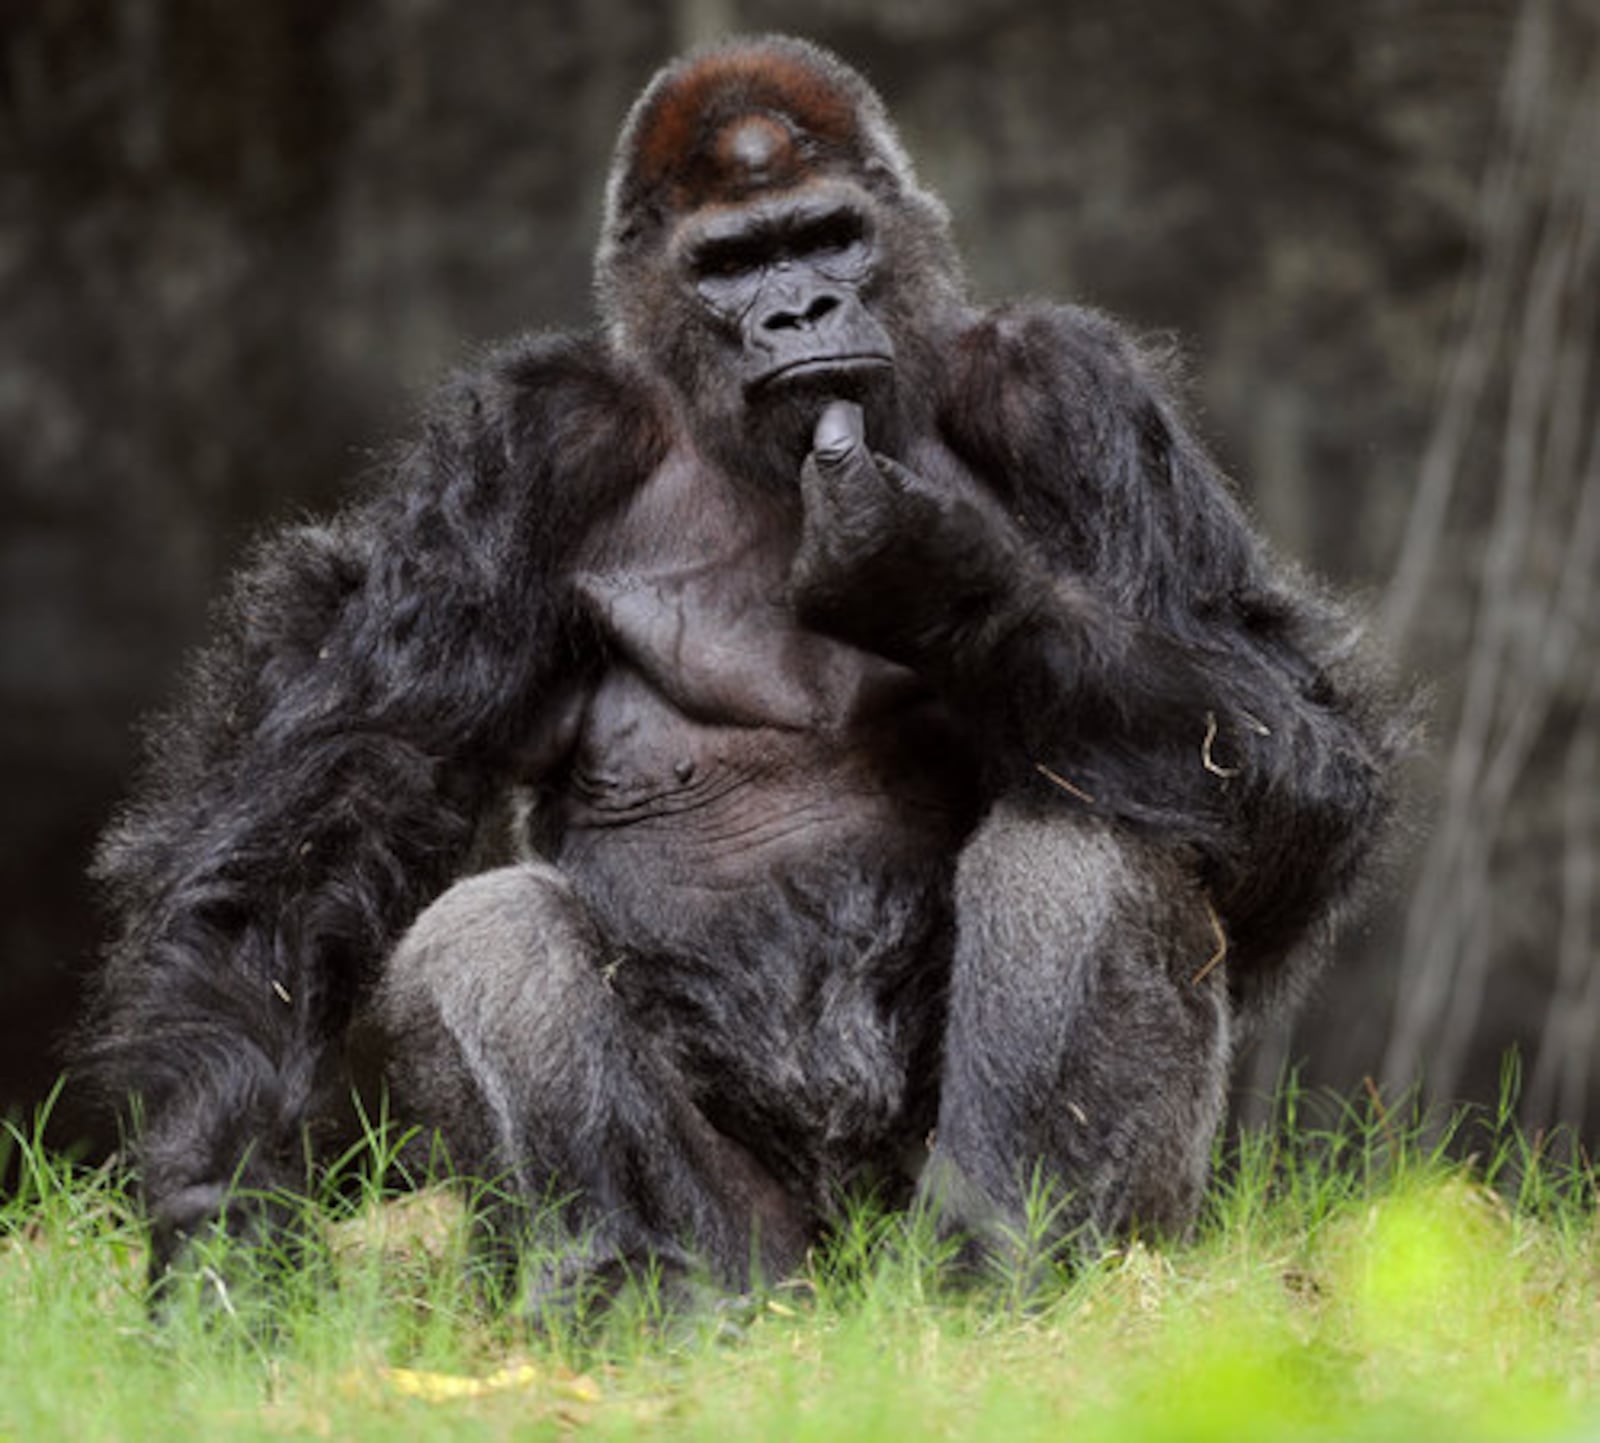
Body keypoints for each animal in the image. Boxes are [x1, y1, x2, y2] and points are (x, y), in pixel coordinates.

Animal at [87, 33, 1401, 1305]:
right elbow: (345, 798)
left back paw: (1011, 1266)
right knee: (487, 936)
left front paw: (943, 580)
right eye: (731, 264)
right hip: (764, 1258)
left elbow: (1296, 749)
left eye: (825, 240)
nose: (802, 310)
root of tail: (838, 1279)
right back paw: (652, 1288)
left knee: (1090, 838)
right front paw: (216, 1229)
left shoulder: (1067, 389)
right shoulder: (523, 437)